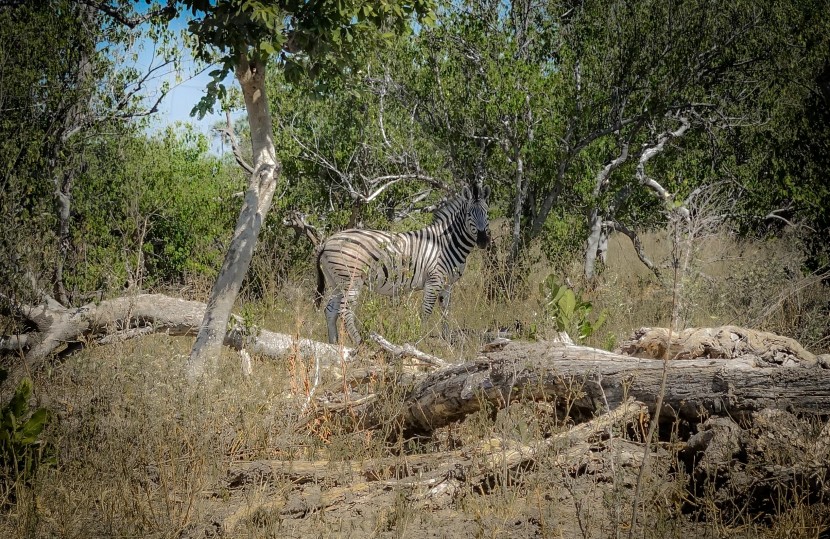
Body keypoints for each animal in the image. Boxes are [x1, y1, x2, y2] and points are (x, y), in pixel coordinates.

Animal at [316, 185, 490, 346]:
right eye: (468, 214)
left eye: (487, 213)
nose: (483, 241)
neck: (445, 244)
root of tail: (327, 241)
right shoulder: (434, 281)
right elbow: (426, 311)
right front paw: (418, 341)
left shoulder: (448, 284)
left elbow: (446, 312)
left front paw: (447, 342)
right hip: (351, 280)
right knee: (345, 312)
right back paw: (359, 343)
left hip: (336, 282)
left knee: (330, 310)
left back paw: (333, 344)